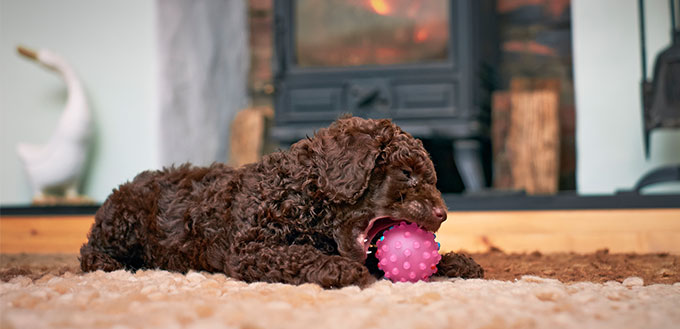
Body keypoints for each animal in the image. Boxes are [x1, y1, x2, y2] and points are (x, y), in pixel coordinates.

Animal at [81, 116, 484, 288]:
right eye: (406, 174)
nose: (442, 214)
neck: (304, 195)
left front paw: (456, 261)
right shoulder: (249, 249)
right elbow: (296, 254)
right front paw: (335, 268)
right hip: (124, 223)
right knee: (89, 250)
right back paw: (109, 264)